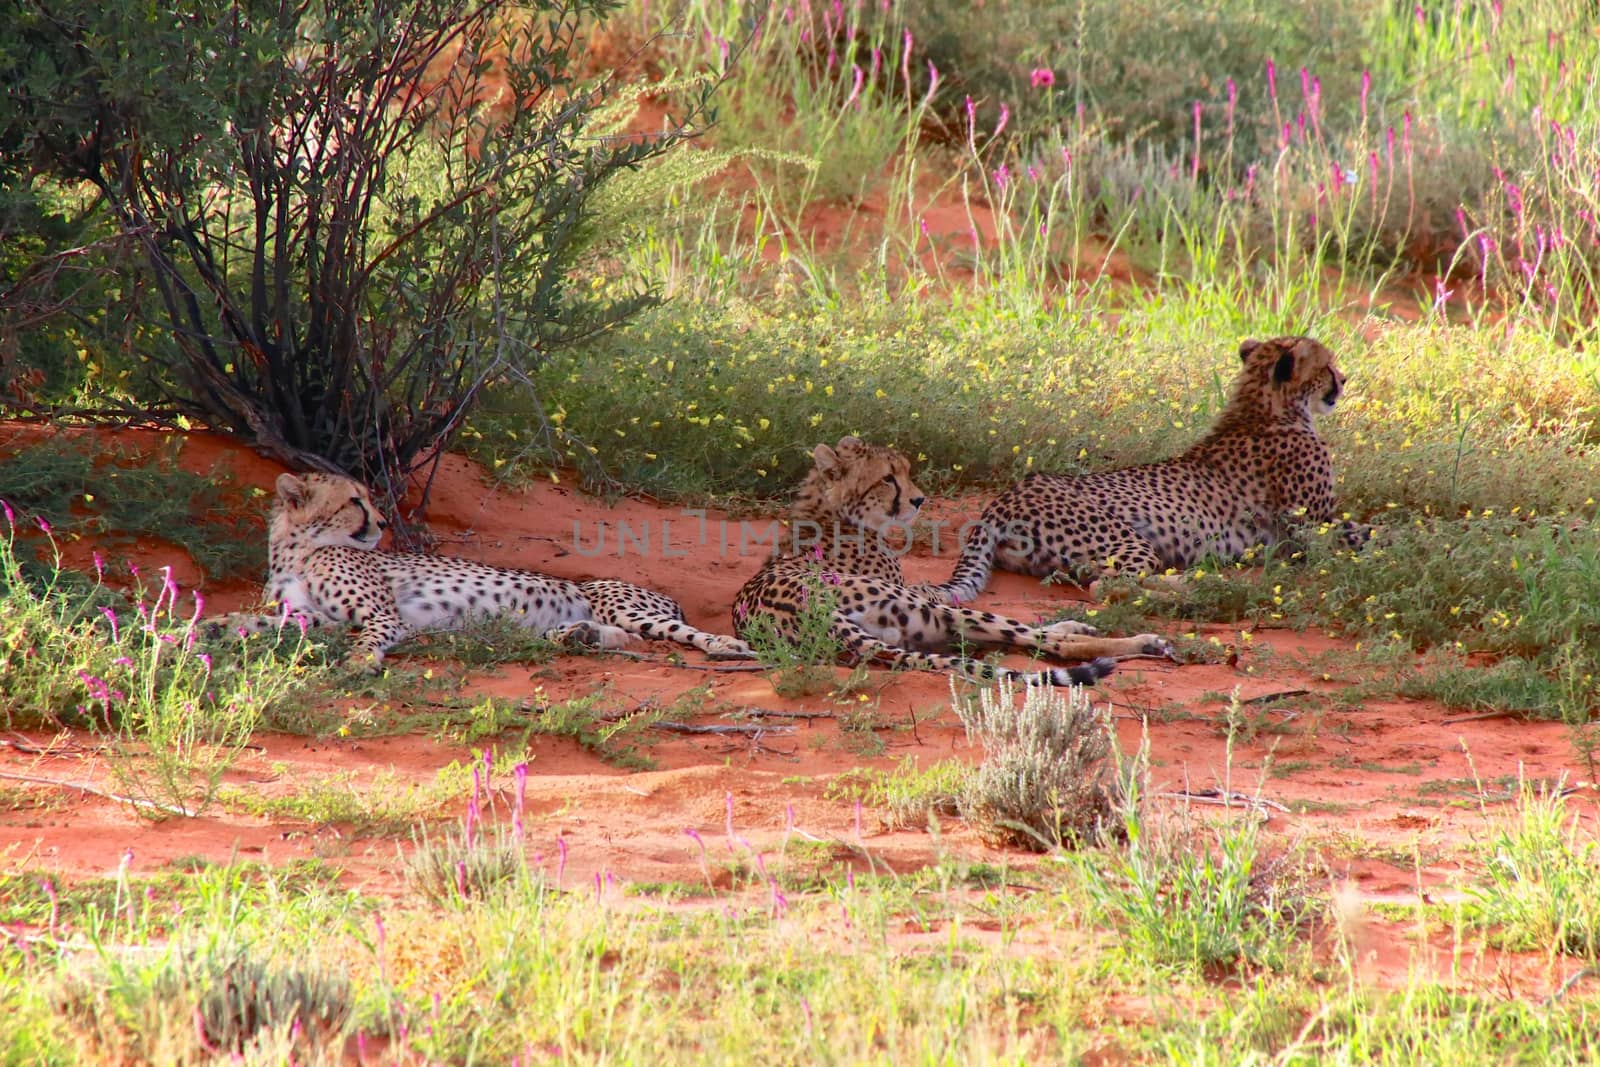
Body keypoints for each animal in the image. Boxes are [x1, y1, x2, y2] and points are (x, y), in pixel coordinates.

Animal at [211, 470, 748, 662]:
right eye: (354, 501)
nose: (383, 522)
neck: (298, 549)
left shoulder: (383, 615)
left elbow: (368, 637)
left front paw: (361, 662)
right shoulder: (315, 617)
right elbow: (258, 620)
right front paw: (208, 626)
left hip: (626, 606)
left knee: (677, 634)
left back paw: (729, 646)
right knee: (623, 638)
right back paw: (576, 636)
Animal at [732, 438, 1171, 687]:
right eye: (888, 478)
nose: (918, 499)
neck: (833, 513)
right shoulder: (914, 594)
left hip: (918, 631)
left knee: (1009, 638)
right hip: (927, 615)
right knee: (1047, 643)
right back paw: (1145, 642)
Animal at [934, 335, 1356, 601]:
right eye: (1327, 366)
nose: (1344, 378)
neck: (1267, 409)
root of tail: (1004, 500)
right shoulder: (1314, 528)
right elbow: (1360, 537)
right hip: (1129, 542)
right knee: (1105, 588)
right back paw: (1193, 588)